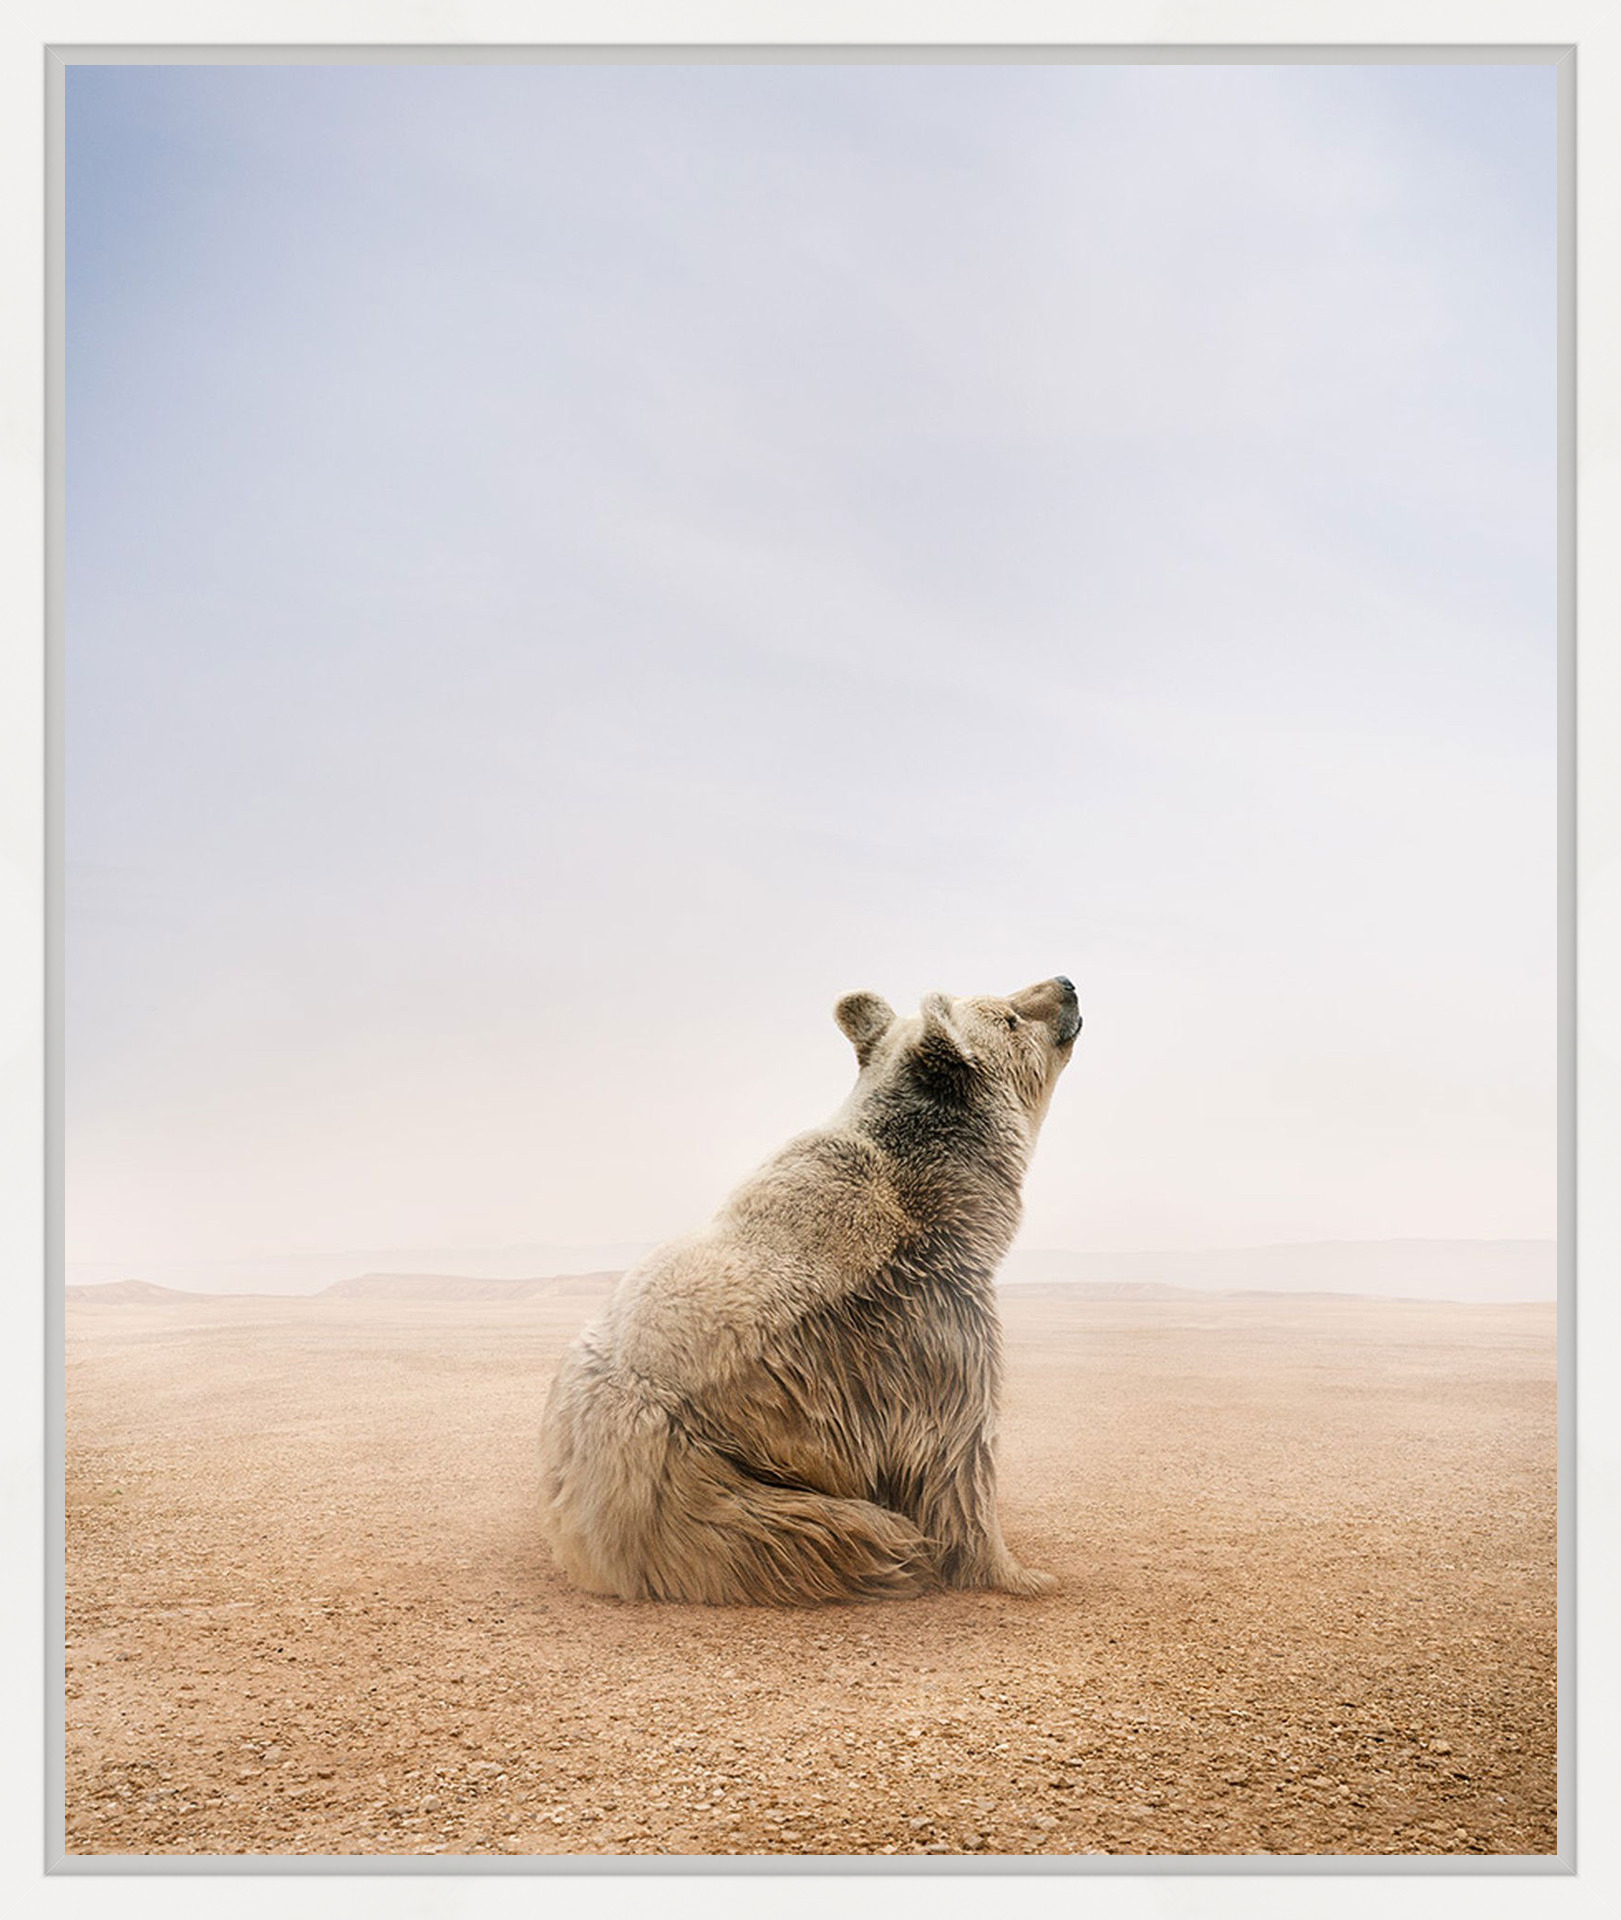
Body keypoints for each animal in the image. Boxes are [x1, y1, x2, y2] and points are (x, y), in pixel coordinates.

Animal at [537, 975, 1082, 1606]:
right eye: (1009, 1016)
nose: (1066, 985)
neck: (944, 1197)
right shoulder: (921, 1322)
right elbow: (955, 1453)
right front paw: (1019, 1573)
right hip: (687, 1479)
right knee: (822, 1533)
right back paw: (896, 1554)